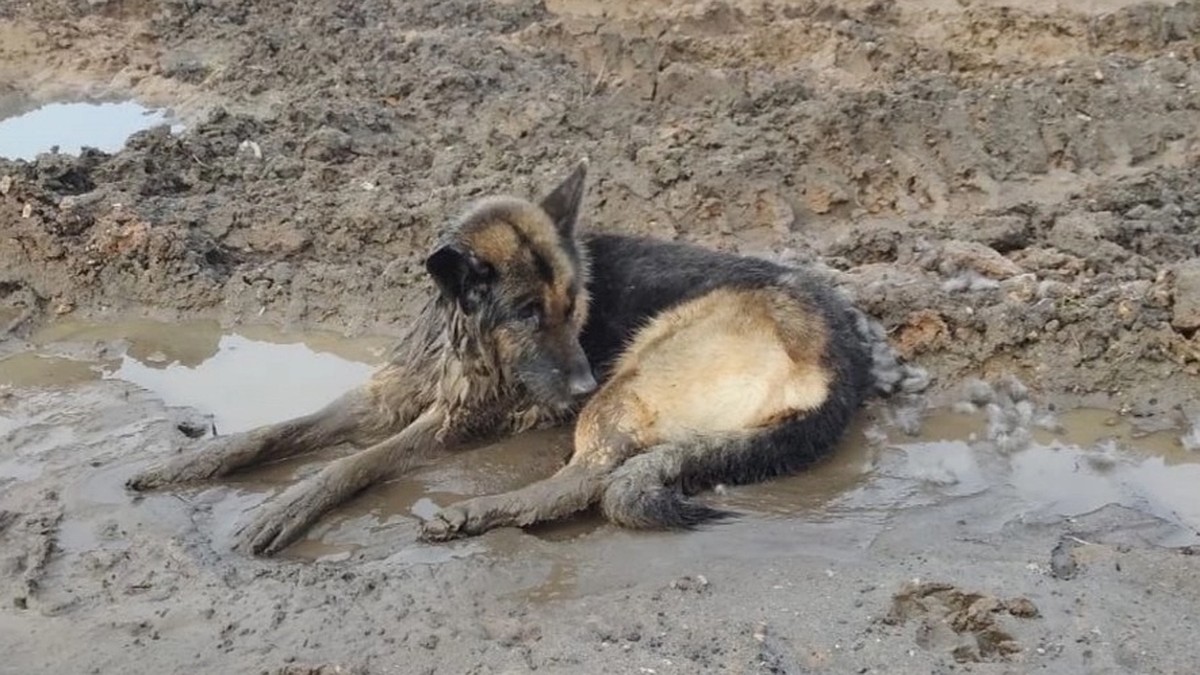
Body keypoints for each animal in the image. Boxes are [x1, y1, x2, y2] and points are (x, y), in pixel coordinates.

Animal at [124, 159, 926, 554]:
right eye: (530, 314)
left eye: (577, 307)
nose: (574, 387)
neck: (465, 337)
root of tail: (844, 359)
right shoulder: (391, 393)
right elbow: (278, 431)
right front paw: (190, 463)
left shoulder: (457, 423)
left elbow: (353, 463)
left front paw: (287, 505)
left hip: (633, 377)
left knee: (590, 480)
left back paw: (479, 510)